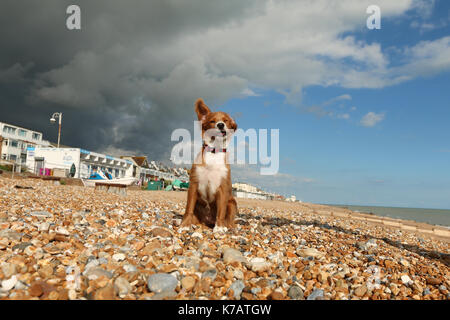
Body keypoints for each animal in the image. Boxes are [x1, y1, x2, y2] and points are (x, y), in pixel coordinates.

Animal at [181, 98, 241, 232]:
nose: (220, 125)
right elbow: (188, 208)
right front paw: (185, 225)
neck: (214, 151)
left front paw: (219, 228)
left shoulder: (223, 188)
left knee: (229, 219)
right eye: (212, 121)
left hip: (232, 202)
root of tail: (207, 222)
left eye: (226, 120)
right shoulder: (193, 184)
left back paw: (228, 226)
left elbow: (221, 211)